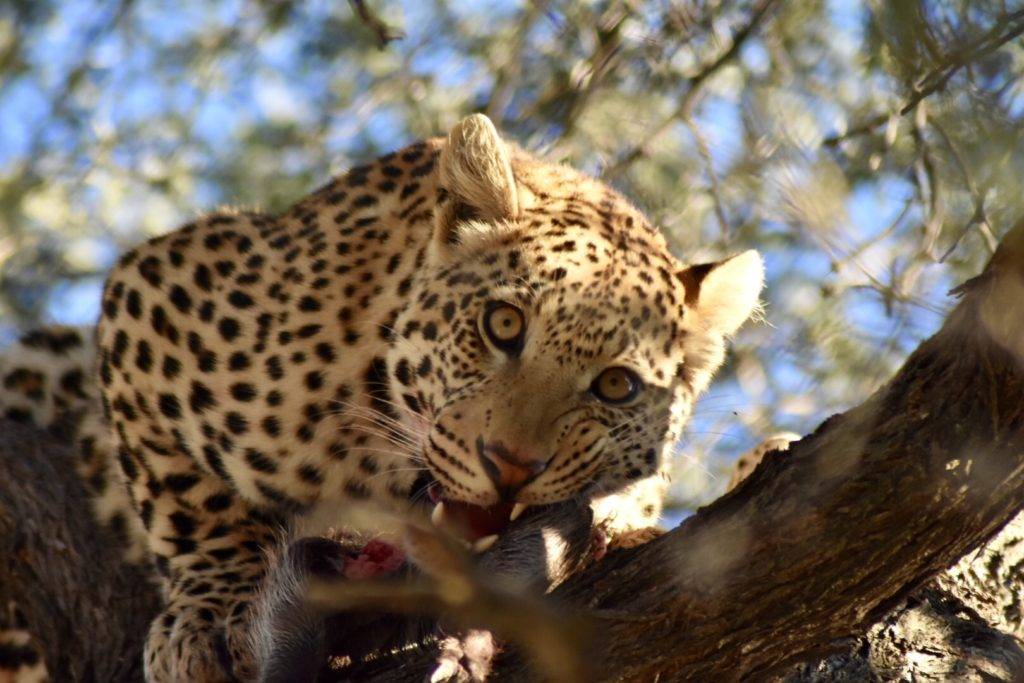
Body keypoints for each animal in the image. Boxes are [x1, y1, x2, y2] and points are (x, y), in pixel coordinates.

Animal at [0, 114, 761, 679]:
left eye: (616, 386)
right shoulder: (158, 289)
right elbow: (193, 504)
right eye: (503, 324)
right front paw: (214, 616)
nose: (511, 467)